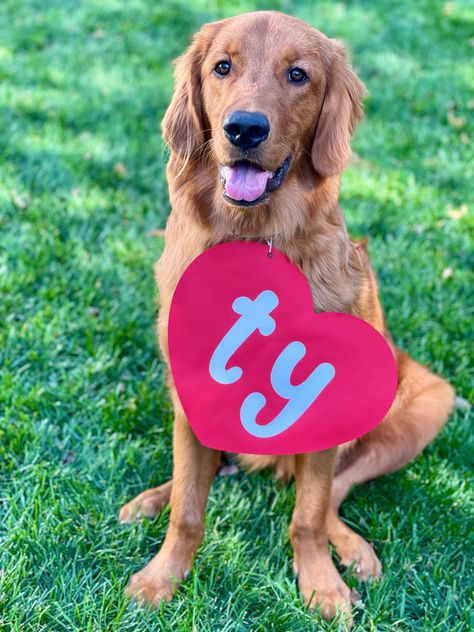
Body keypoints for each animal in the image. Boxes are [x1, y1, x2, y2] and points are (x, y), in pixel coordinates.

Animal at [119, 11, 456, 628]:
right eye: (221, 67)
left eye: (298, 75)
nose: (244, 129)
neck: (252, 238)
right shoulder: (191, 385)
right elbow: (188, 509)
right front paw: (162, 577)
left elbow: (308, 515)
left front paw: (320, 584)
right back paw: (151, 499)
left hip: (427, 406)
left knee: (334, 494)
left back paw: (353, 550)